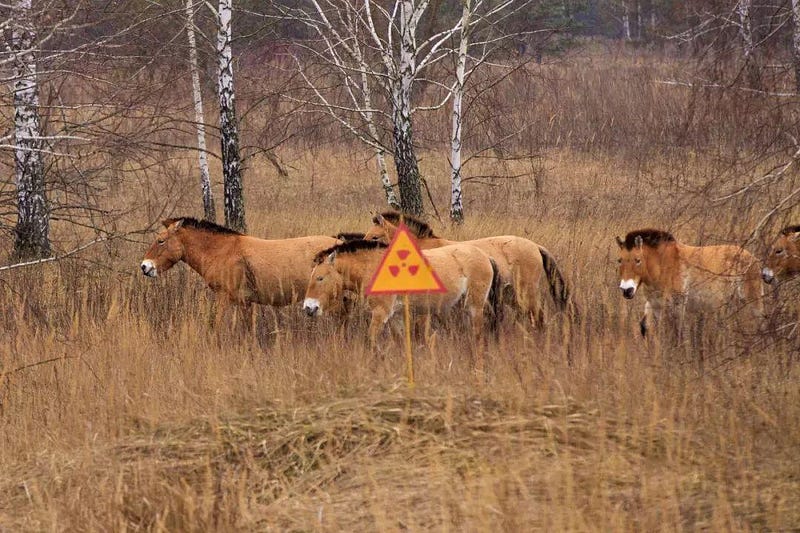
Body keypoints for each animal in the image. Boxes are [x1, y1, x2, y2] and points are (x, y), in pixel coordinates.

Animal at [302, 239, 500, 348]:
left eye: (320, 278)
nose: (309, 308)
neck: (374, 267)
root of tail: (485, 256)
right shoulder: (395, 316)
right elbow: (400, 342)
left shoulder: (380, 313)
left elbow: (371, 340)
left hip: (475, 306)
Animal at [616, 229, 764, 336]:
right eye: (619, 260)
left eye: (638, 260)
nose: (627, 290)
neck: (663, 265)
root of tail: (753, 258)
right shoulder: (655, 306)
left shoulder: (678, 305)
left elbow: (678, 332)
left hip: (753, 303)